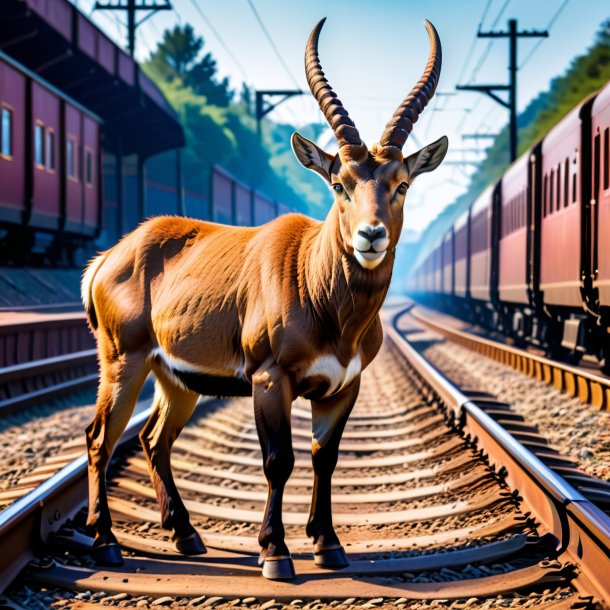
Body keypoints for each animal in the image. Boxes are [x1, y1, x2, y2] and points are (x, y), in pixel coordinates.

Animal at [81, 17, 446, 580]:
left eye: (401, 183)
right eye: (339, 183)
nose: (370, 235)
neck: (324, 296)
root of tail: (110, 256)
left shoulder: (344, 387)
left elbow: (324, 457)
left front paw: (328, 544)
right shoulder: (270, 380)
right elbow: (279, 460)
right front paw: (276, 553)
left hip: (176, 379)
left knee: (152, 439)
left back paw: (186, 536)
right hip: (124, 362)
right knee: (100, 438)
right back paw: (105, 542)